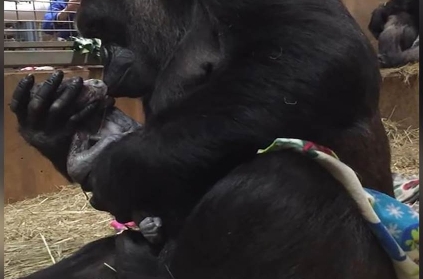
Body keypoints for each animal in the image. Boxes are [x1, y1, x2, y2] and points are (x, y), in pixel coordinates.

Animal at [13, 0, 398, 278]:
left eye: (105, 30)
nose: (105, 59)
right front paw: (53, 126)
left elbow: (317, 50)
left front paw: (117, 168)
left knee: (281, 182)